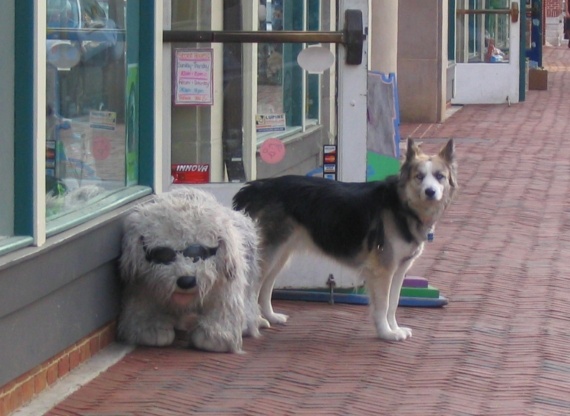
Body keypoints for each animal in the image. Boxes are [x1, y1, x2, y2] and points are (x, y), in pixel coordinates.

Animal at [118, 187, 266, 352]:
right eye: (163, 254)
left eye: (199, 253)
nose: (186, 281)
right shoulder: (143, 284)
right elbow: (143, 305)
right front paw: (151, 329)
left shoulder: (224, 284)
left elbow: (223, 307)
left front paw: (214, 337)